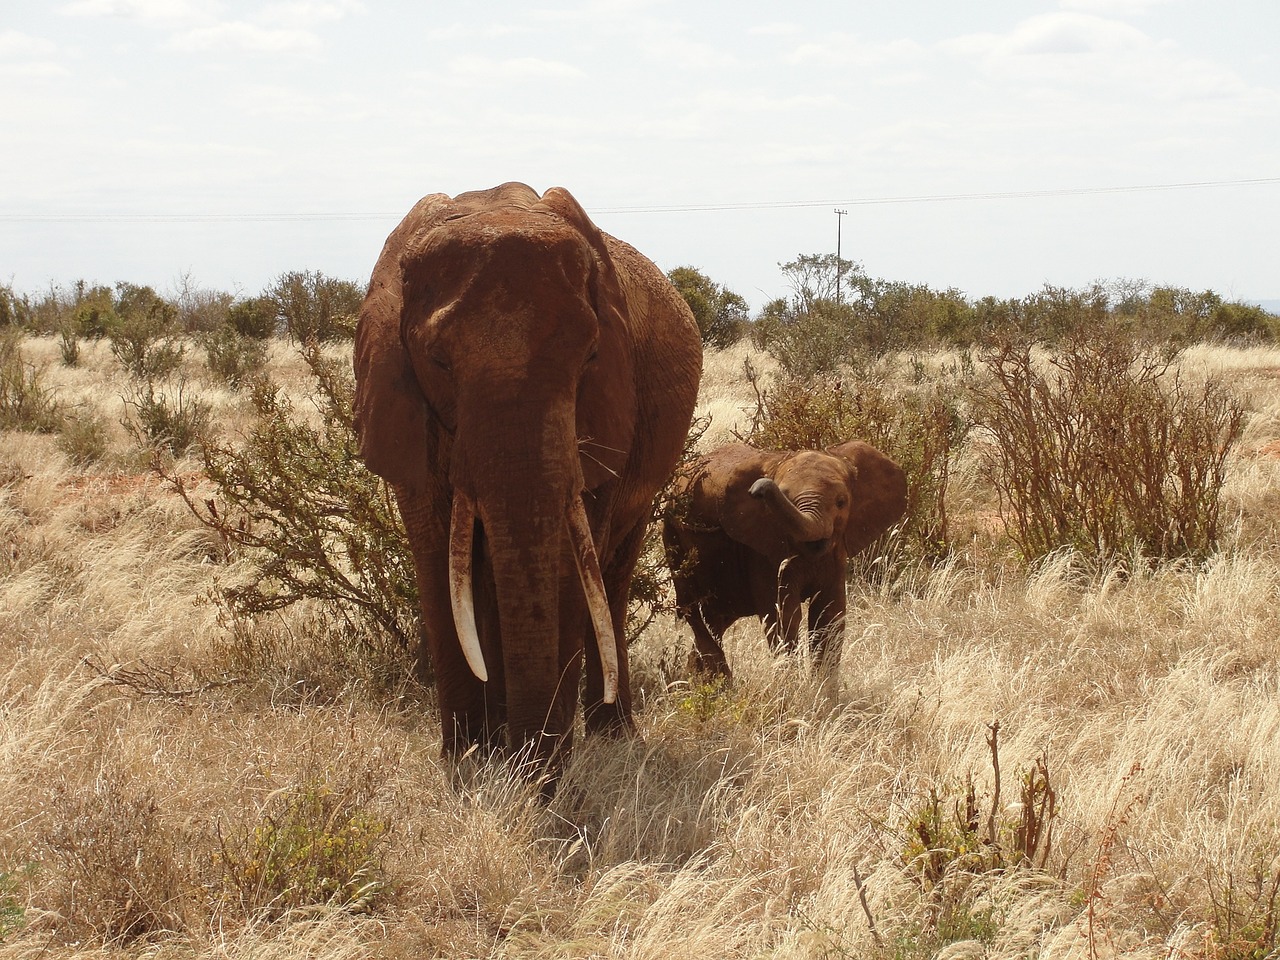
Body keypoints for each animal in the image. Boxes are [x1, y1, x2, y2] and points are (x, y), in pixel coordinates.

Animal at [353, 184, 701, 778]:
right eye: (438, 362)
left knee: (612, 574)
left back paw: (612, 735)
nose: (533, 770)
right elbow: (438, 562)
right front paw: (468, 762)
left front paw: (537, 772)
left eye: (590, 356)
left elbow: (569, 565)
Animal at [660, 442, 911, 675]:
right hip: (674, 538)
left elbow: (829, 616)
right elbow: (784, 617)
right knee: (697, 613)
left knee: (715, 621)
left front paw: (822, 694)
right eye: (784, 497)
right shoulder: (763, 552)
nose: (757, 489)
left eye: (841, 502)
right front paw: (793, 690)